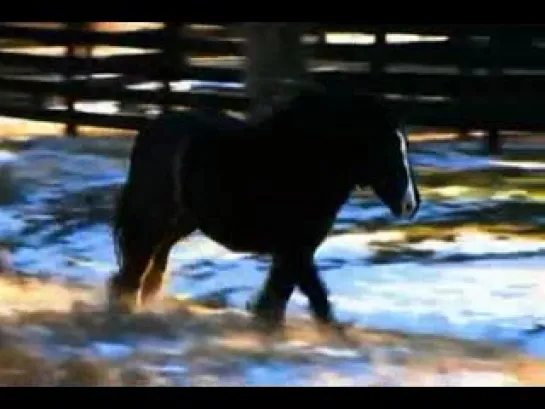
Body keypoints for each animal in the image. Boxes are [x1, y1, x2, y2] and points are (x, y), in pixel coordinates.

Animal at [107, 87, 420, 332]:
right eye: (387, 148)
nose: (411, 204)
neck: (307, 162)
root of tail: (151, 129)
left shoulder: (294, 251)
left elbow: (278, 300)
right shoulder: (296, 249)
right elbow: (314, 299)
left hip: (179, 223)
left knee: (151, 264)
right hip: (152, 222)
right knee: (133, 270)